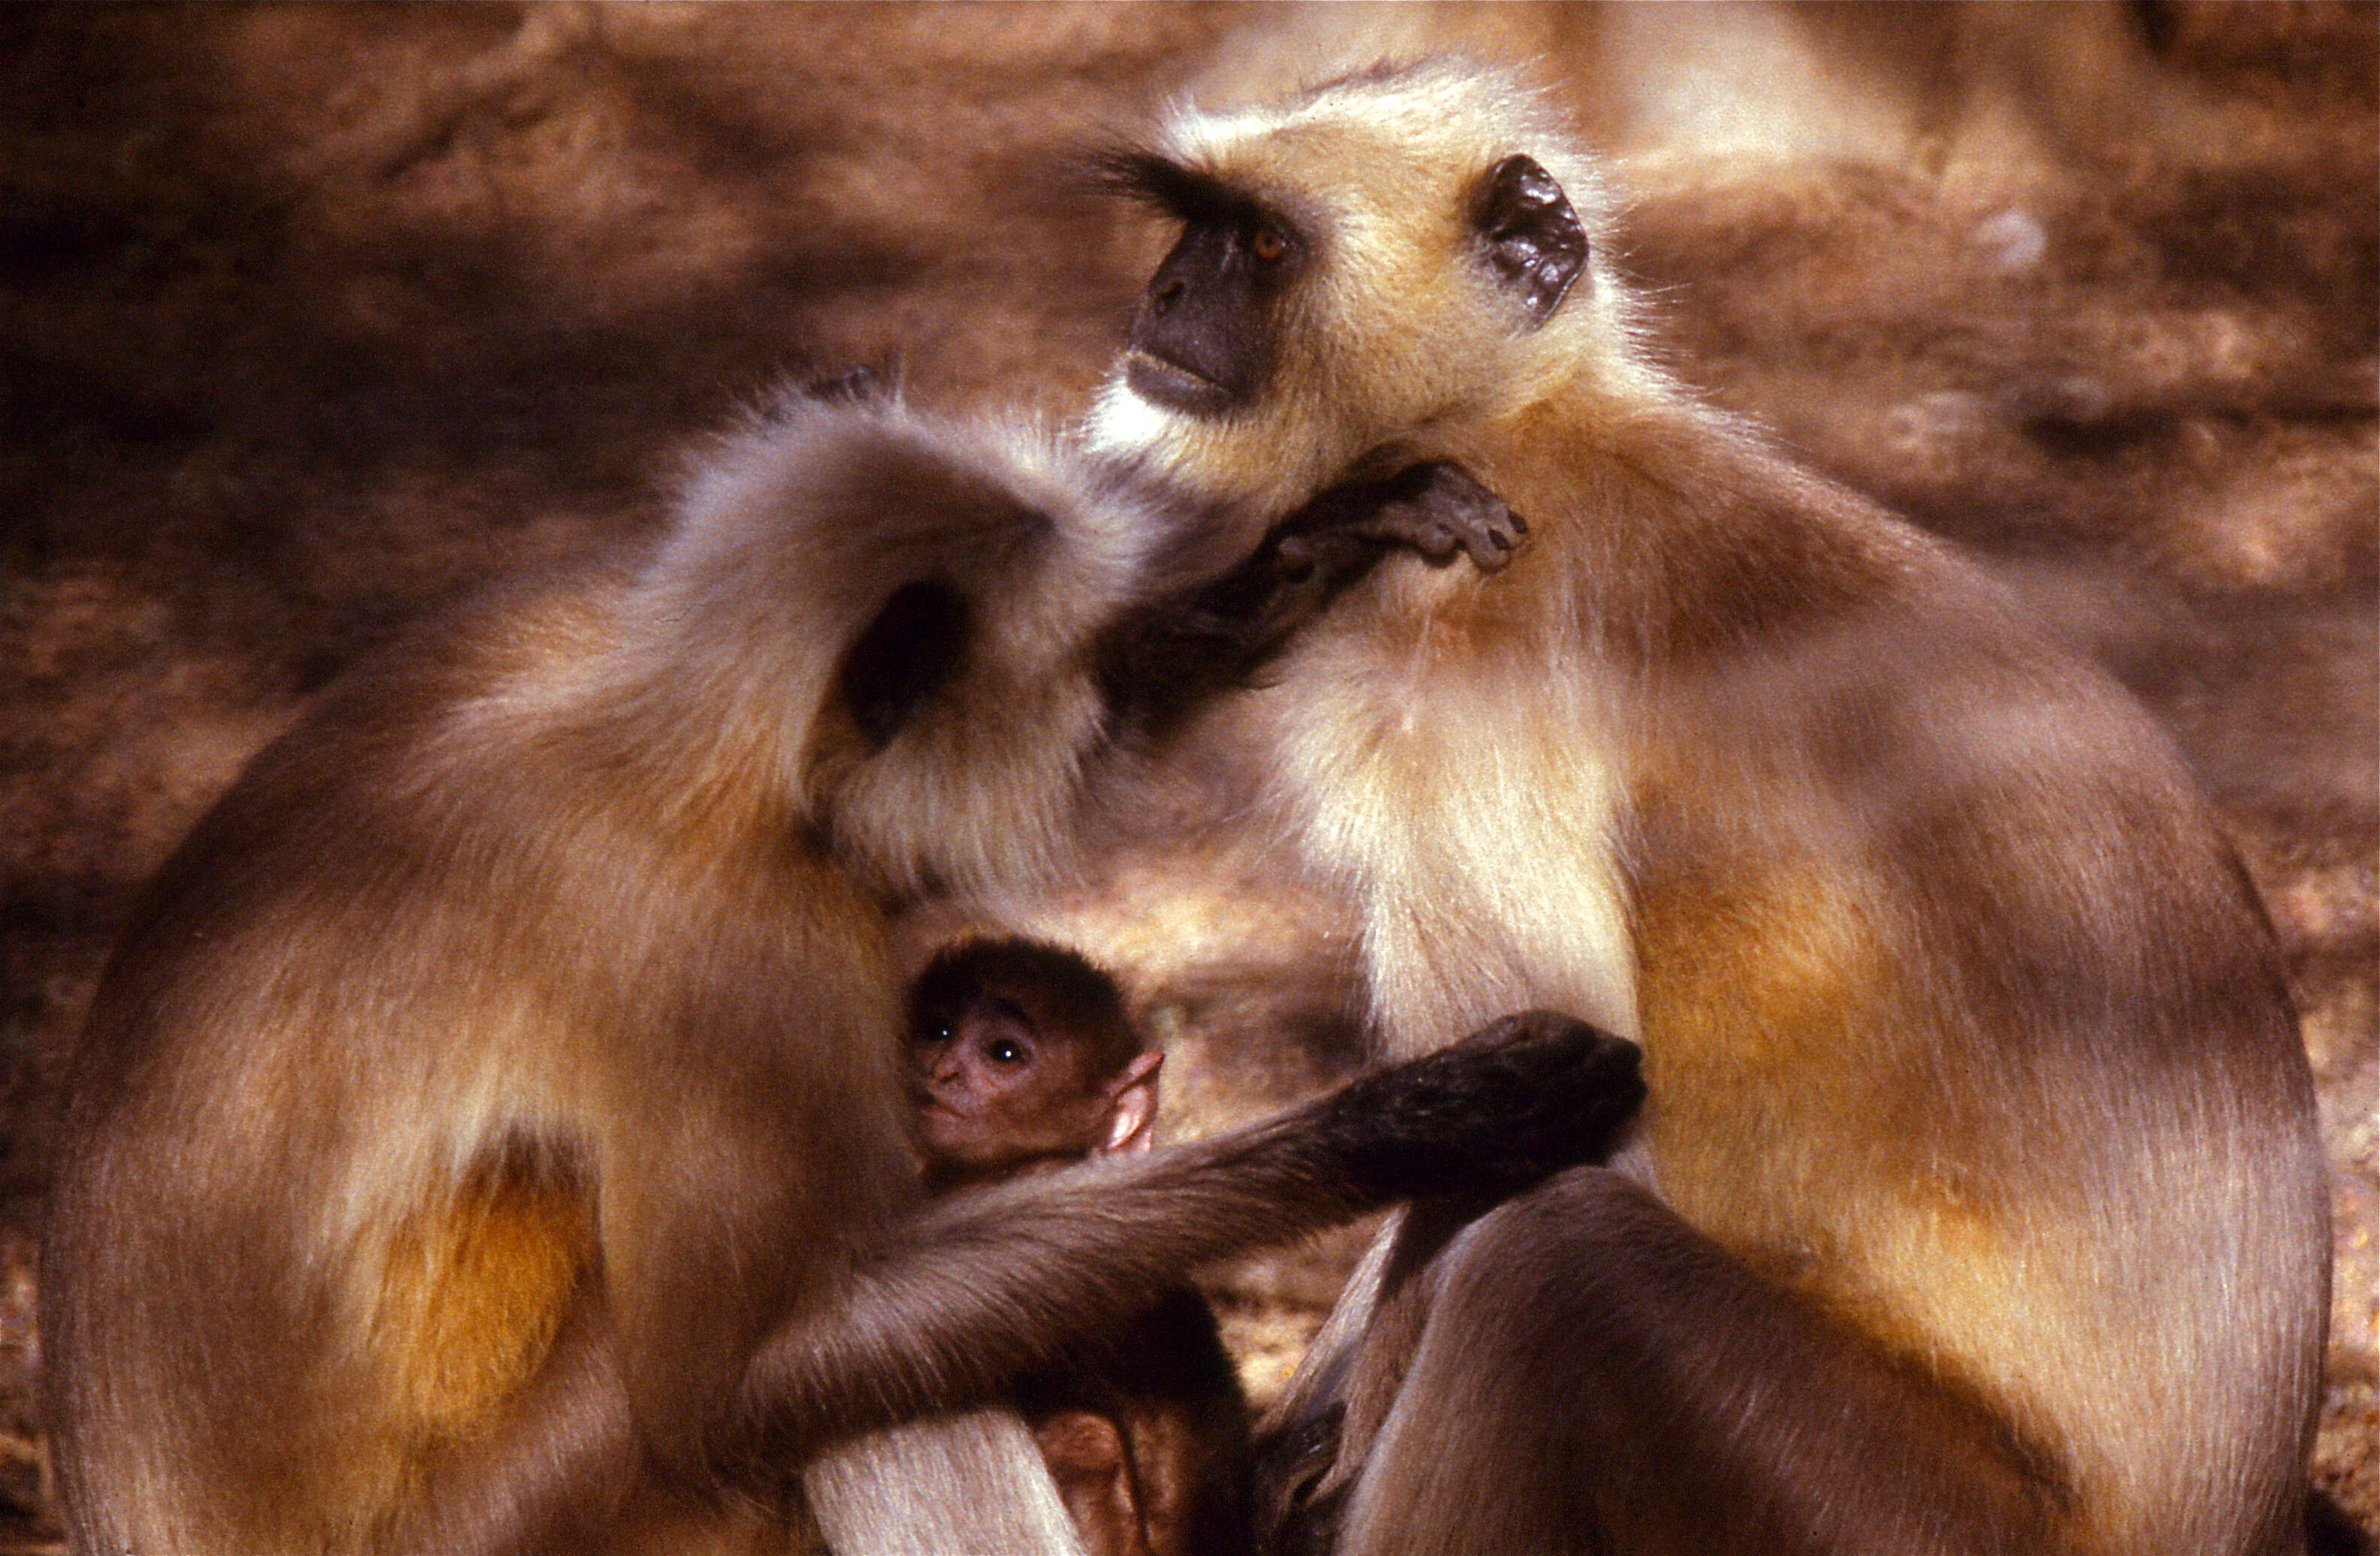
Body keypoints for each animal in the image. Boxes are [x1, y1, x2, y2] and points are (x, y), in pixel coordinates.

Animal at [37, 380, 1647, 1556]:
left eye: (1088, 681)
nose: (1082, 712)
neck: (666, 735)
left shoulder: (528, 619)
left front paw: (1324, 542)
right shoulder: (726, 947)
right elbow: (735, 1384)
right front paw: (1417, 1120)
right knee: (850, 1399)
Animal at [1090, 54, 2332, 1556]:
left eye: (1261, 247)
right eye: (1191, 232)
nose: (1162, 294)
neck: (1523, 433)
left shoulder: (1472, 670)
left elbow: (1547, 1120)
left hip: (1869, 1507)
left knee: (1545, 1266)